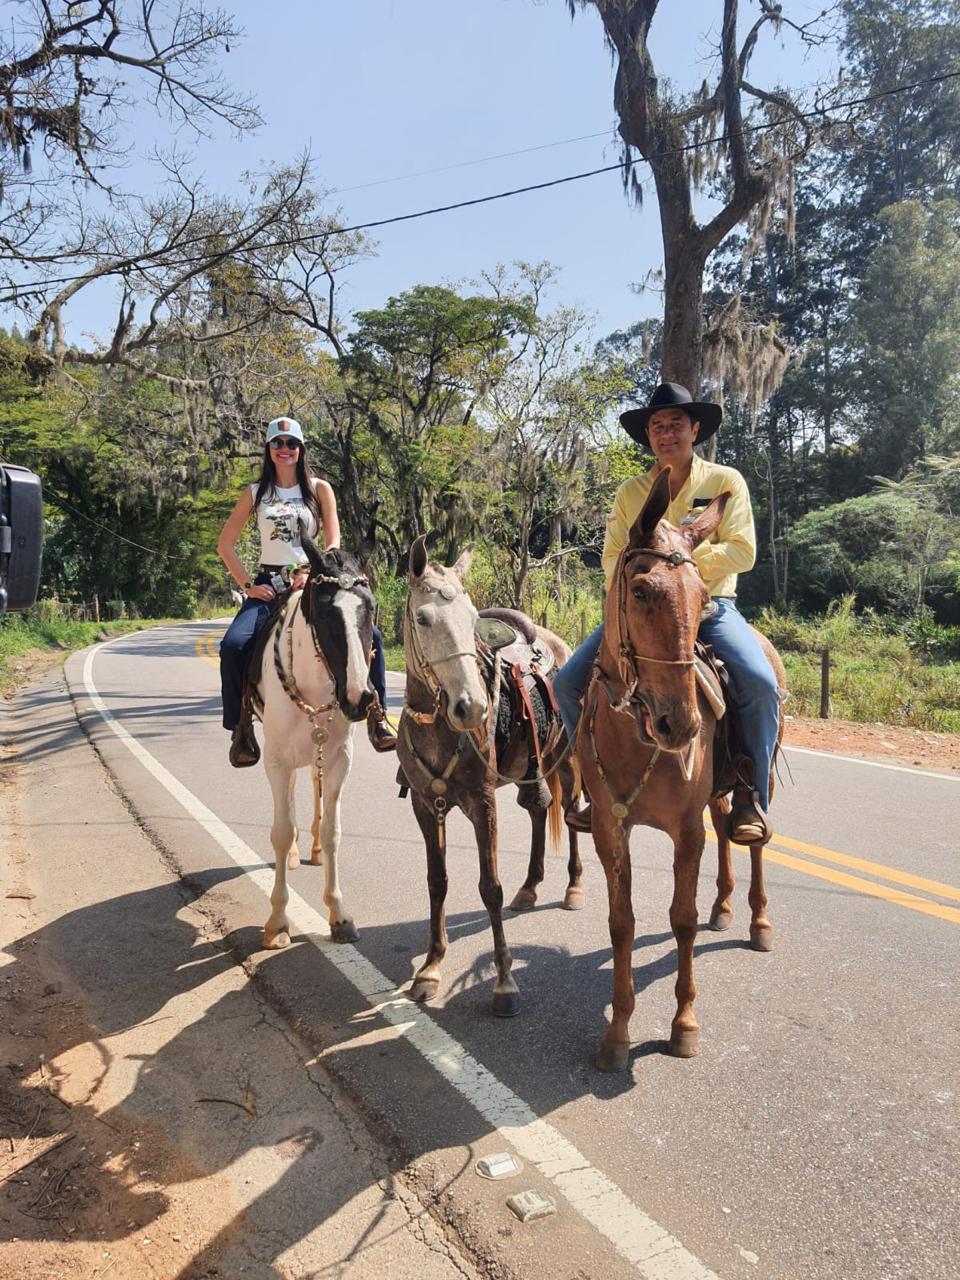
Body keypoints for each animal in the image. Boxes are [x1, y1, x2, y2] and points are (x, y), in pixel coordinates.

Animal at [251, 530, 376, 950]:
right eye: (324, 613)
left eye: (371, 609)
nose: (359, 698)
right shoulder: (275, 760)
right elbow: (279, 831)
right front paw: (277, 921)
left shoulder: (340, 758)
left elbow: (333, 830)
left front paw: (339, 915)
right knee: (289, 797)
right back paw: (292, 853)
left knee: (313, 787)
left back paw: (314, 851)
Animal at [397, 535, 583, 1017]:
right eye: (423, 618)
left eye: (471, 619)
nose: (473, 707)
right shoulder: (426, 805)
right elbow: (437, 882)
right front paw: (430, 968)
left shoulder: (483, 803)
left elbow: (490, 887)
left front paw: (504, 982)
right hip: (528, 767)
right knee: (539, 810)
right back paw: (530, 887)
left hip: (567, 759)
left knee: (571, 812)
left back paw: (573, 887)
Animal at [577, 468, 786, 1071]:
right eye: (640, 591)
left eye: (702, 598)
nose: (683, 725)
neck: (635, 735)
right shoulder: (609, 827)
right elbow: (621, 922)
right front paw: (617, 1033)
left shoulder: (684, 828)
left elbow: (681, 920)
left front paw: (683, 1026)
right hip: (717, 792)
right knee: (725, 830)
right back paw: (724, 906)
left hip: (758, 776)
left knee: (754, 838)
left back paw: (757, 921)